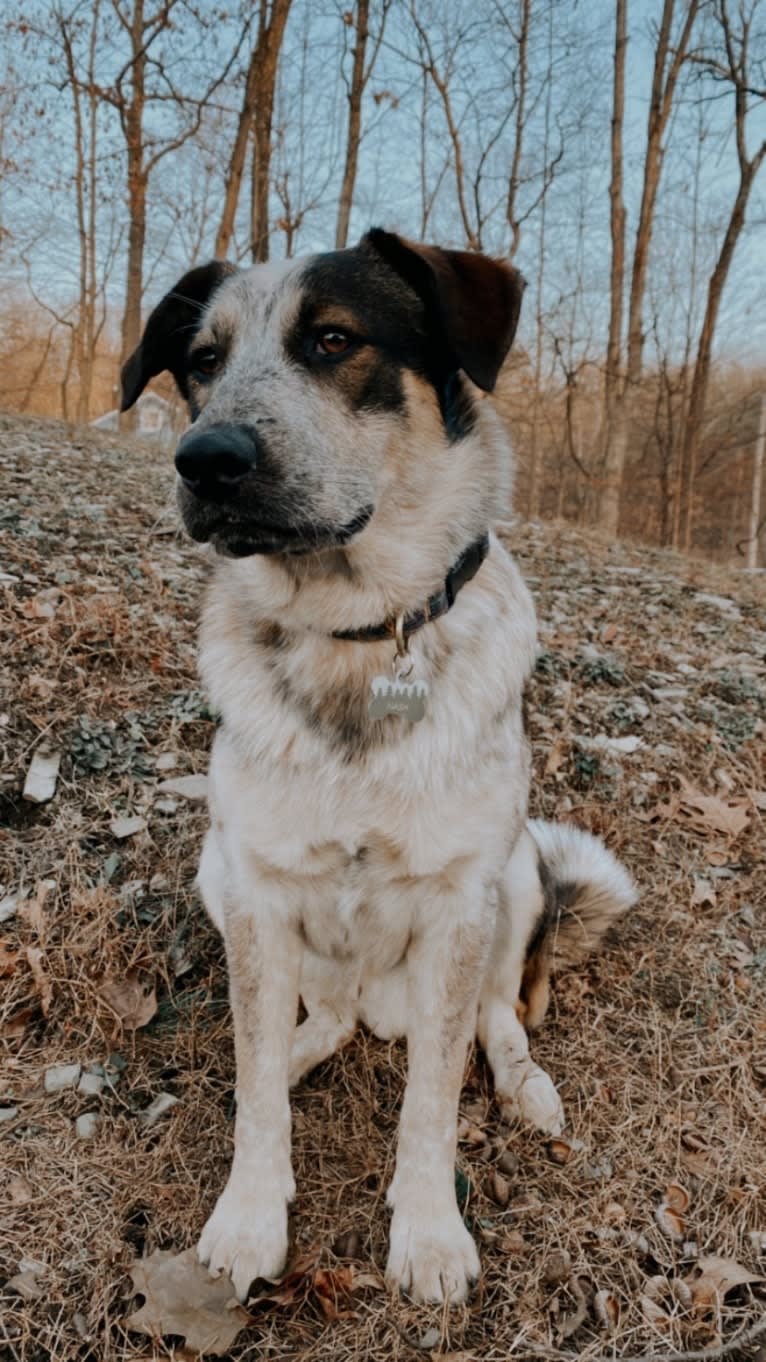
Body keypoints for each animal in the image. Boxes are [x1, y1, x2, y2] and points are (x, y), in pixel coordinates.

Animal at [119, 228, 632, 1302]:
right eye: (203, 361)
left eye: (332, 339)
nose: (205, 459)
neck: (356, 637)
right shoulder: (259, 891)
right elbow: (257, 1083)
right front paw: (250, 1214)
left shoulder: (459, 904)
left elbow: (431, 1101)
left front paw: (430, 1234)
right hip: (217, 874)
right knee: (310, 1026)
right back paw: (298, 1051)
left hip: (520, 873)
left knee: (497, 1017)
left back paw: (527, 1087)